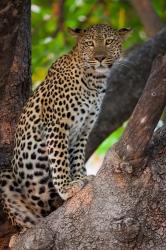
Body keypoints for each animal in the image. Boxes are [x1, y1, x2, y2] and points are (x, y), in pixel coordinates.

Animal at [0, 23, 130, 229]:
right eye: (90, 43)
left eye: (109, 42)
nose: (99, 57)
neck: (94, 82)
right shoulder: (57, 126)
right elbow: (59, 159)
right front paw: (67, 188)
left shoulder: (83, 130)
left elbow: (76, 158)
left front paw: (81, 178)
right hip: (8, 179)